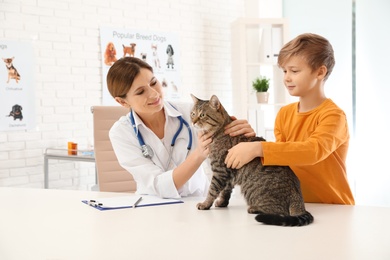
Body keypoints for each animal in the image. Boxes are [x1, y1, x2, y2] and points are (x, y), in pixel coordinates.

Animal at [190, 94, 316, 226]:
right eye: (193, 114)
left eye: (202, 115)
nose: (193, 122)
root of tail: (298, 198)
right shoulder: (228, 173)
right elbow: (226, 190)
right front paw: (222, 202)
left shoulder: (220, 170)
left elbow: (212, 190)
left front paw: (205, 204)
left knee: (278, 211)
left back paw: (255, 208)